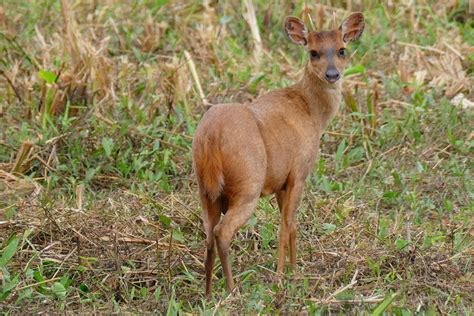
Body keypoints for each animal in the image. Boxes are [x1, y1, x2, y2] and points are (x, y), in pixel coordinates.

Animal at [193, 11, 366, 294]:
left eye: (342, 49)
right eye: (314, 52)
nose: (332, 74)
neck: (311, 112)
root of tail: (211, 136)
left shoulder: (279, 181)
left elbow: (292, 224)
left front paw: (295, 270)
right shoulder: (299, 172)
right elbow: (286, 225)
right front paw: (282, 275)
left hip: (205, 189)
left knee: (208, 232)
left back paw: (208, 293)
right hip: (248, 184)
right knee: (222, 232)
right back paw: (232, 290)